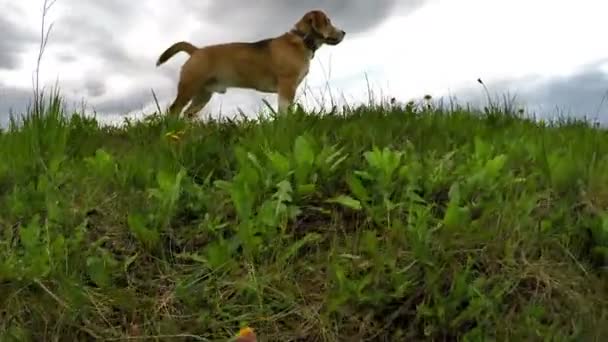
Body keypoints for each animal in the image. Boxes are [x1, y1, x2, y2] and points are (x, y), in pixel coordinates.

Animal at [156, 9, 346, 117]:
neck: (301, 39)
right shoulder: (287, 85)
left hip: (203, 95)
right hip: (189, 87)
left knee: (187, 114)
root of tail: (196, 50)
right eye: (328, 21)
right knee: (174, 110)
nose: (344, 32)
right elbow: (284, 110)